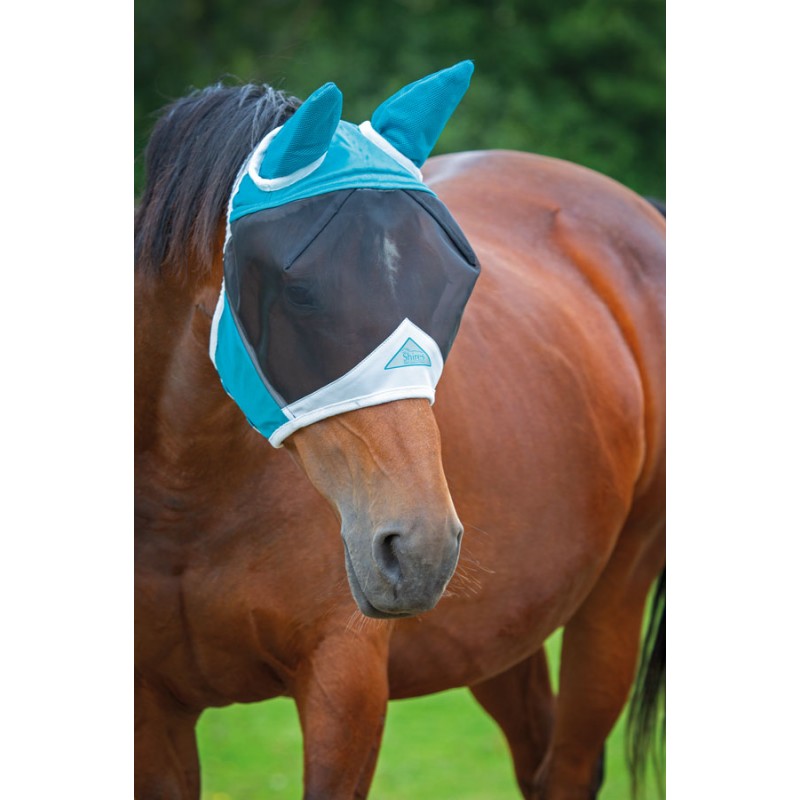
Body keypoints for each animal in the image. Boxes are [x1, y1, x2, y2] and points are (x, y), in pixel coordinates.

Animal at [135, 64, 665, 800]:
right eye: (297, 290)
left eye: (456, 285)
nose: (419, 547)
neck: (186, 499)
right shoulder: (152, 711)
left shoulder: (346, 684)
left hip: (616, 593)